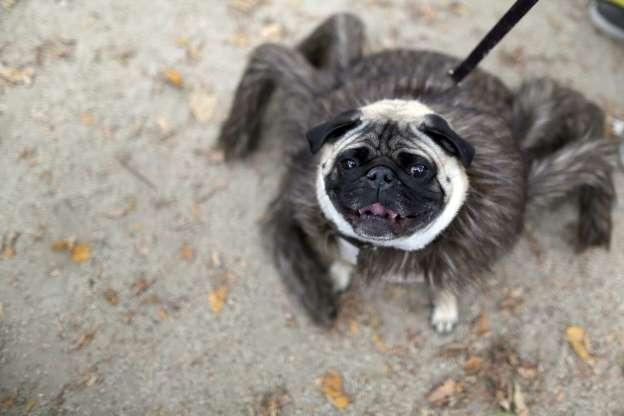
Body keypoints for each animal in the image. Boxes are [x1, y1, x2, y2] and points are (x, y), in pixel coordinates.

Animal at [217, 13, 616, 332]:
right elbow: (336, 253)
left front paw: (445, 308)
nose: (380, 175)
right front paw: (337, 273)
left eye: (418, 169)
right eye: (350, 162)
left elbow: (447, 282)